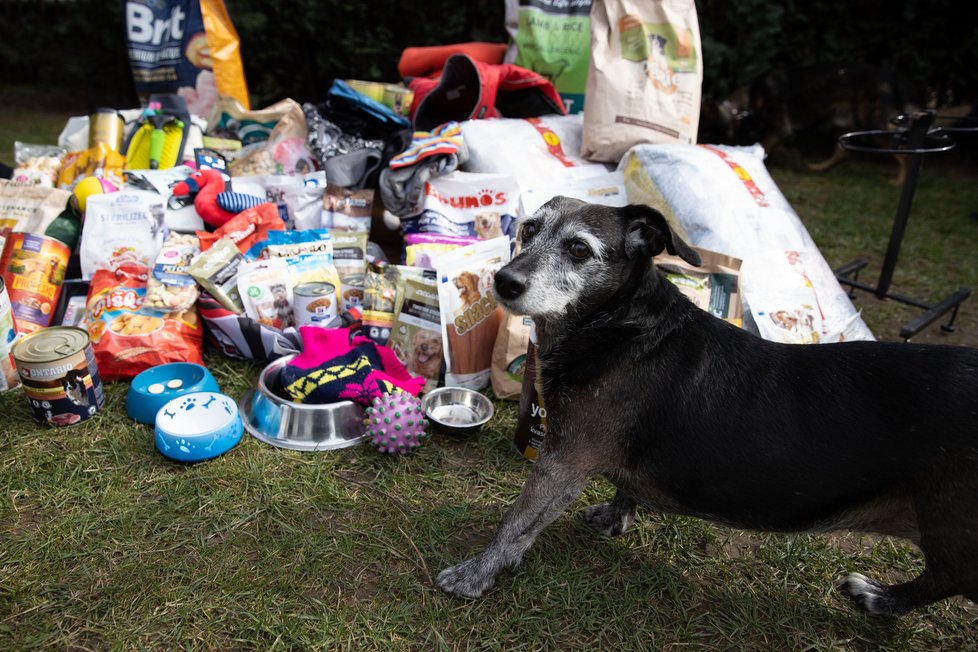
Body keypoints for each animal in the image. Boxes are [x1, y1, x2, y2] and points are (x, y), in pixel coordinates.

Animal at [434, 197, 976, 616]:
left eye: (578, 249)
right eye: (528, 229)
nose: (503, 281)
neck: (618, 324)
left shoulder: (563, 461)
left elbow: (516, 524)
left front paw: (473, 575)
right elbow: (622, 492)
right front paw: (615, 518)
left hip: (951, 530)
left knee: (945, 577)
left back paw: (884, 600)